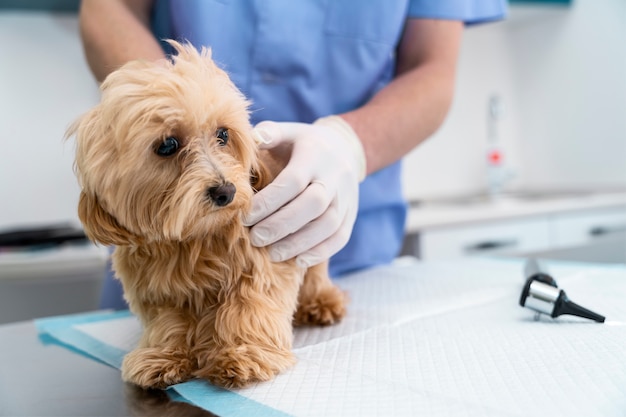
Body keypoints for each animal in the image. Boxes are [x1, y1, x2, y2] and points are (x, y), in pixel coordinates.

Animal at [68, 40, 346, 388]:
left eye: (223, 135)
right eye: (168, 145)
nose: (225, 191)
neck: (194, 239)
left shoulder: (259, 265)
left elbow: (248, 306)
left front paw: (244, 352)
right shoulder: (156, 290)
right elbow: (168, 322)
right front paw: (164, 355)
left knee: (315, 272)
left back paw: (321, 302)